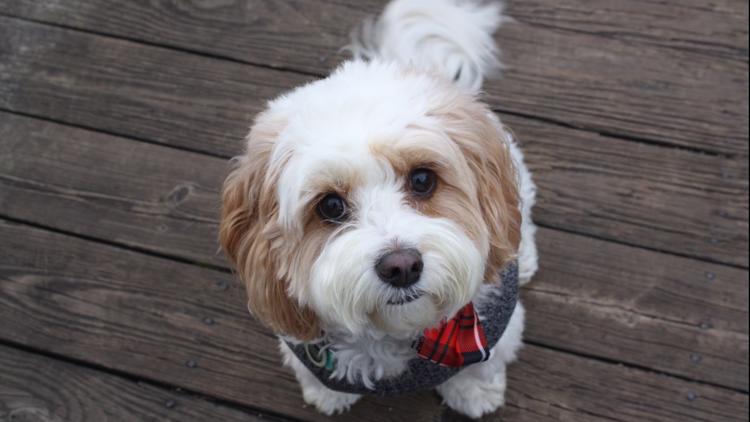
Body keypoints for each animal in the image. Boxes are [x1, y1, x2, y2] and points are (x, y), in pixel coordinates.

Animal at [220, 0, 536, 418]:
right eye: (330, 205)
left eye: (423, 179)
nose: (401, 267)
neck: (397, 332)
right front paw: (329, 395)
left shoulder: (500, 329)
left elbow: (480, 366)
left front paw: (474, 394)